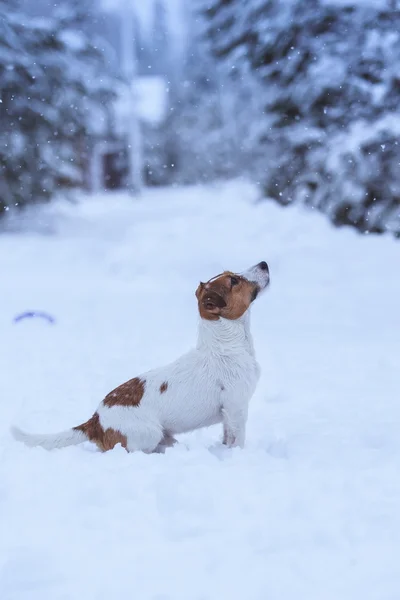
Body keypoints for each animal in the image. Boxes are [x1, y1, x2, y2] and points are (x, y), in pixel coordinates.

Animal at [10, 260, 270, 452]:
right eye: (234, 280)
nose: (264, 263)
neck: (225, 344)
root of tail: (94, 422)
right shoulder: (236, 408)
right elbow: (236, 440)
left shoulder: (229, 414)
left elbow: (226, 438)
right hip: (149, 433)